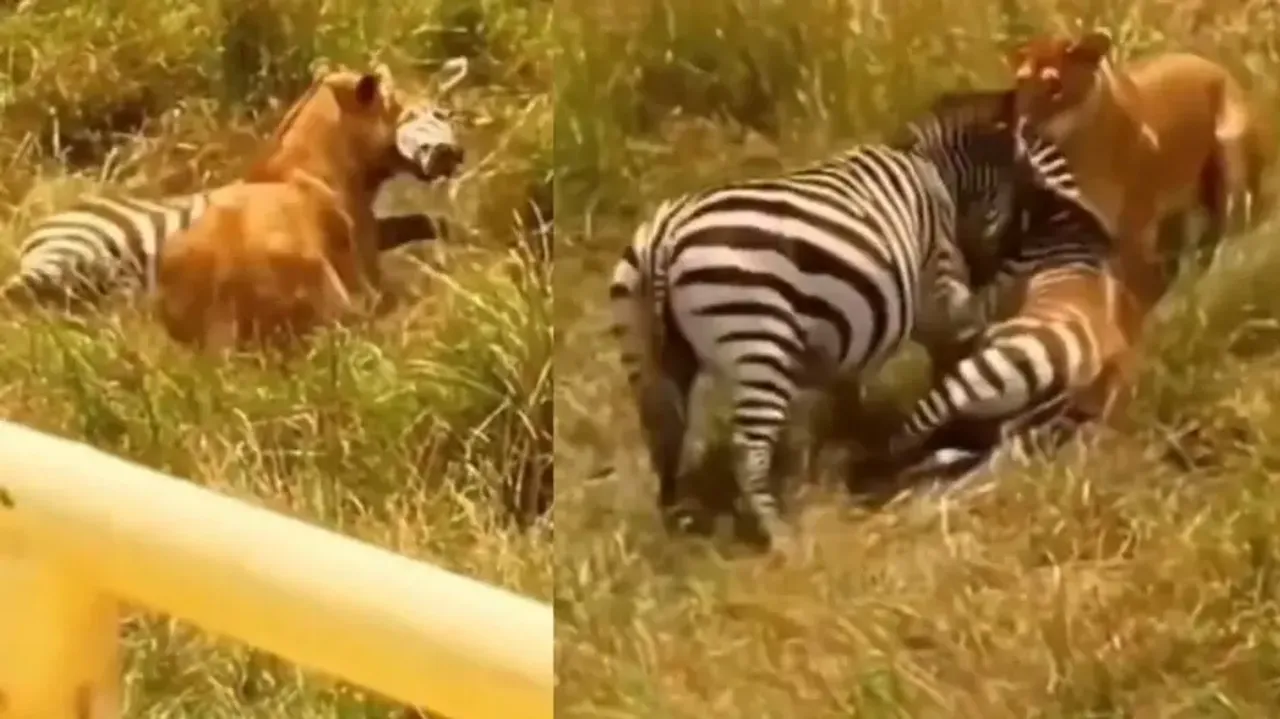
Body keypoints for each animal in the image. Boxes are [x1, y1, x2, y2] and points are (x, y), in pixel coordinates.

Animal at [1, 76, 469, 311]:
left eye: (444, 113)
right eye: (406, 116)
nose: (449, 154)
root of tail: (37, 232)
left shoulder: (370, 229)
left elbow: (428, 222)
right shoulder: (359, 248)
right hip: (87, 248)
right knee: (26, 290)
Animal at [608, 91, 1040, 554]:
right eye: (1023, 179)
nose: (998, 265)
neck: (934, 172)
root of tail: (664, 237)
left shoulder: (849, 329)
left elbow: (843, 399)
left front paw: (848, 453)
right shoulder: (937, 296)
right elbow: (951, 361)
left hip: (647, 356)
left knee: (664, 439)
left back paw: (677, 523)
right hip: (758, 343)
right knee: (748, 451)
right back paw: (781, 537)